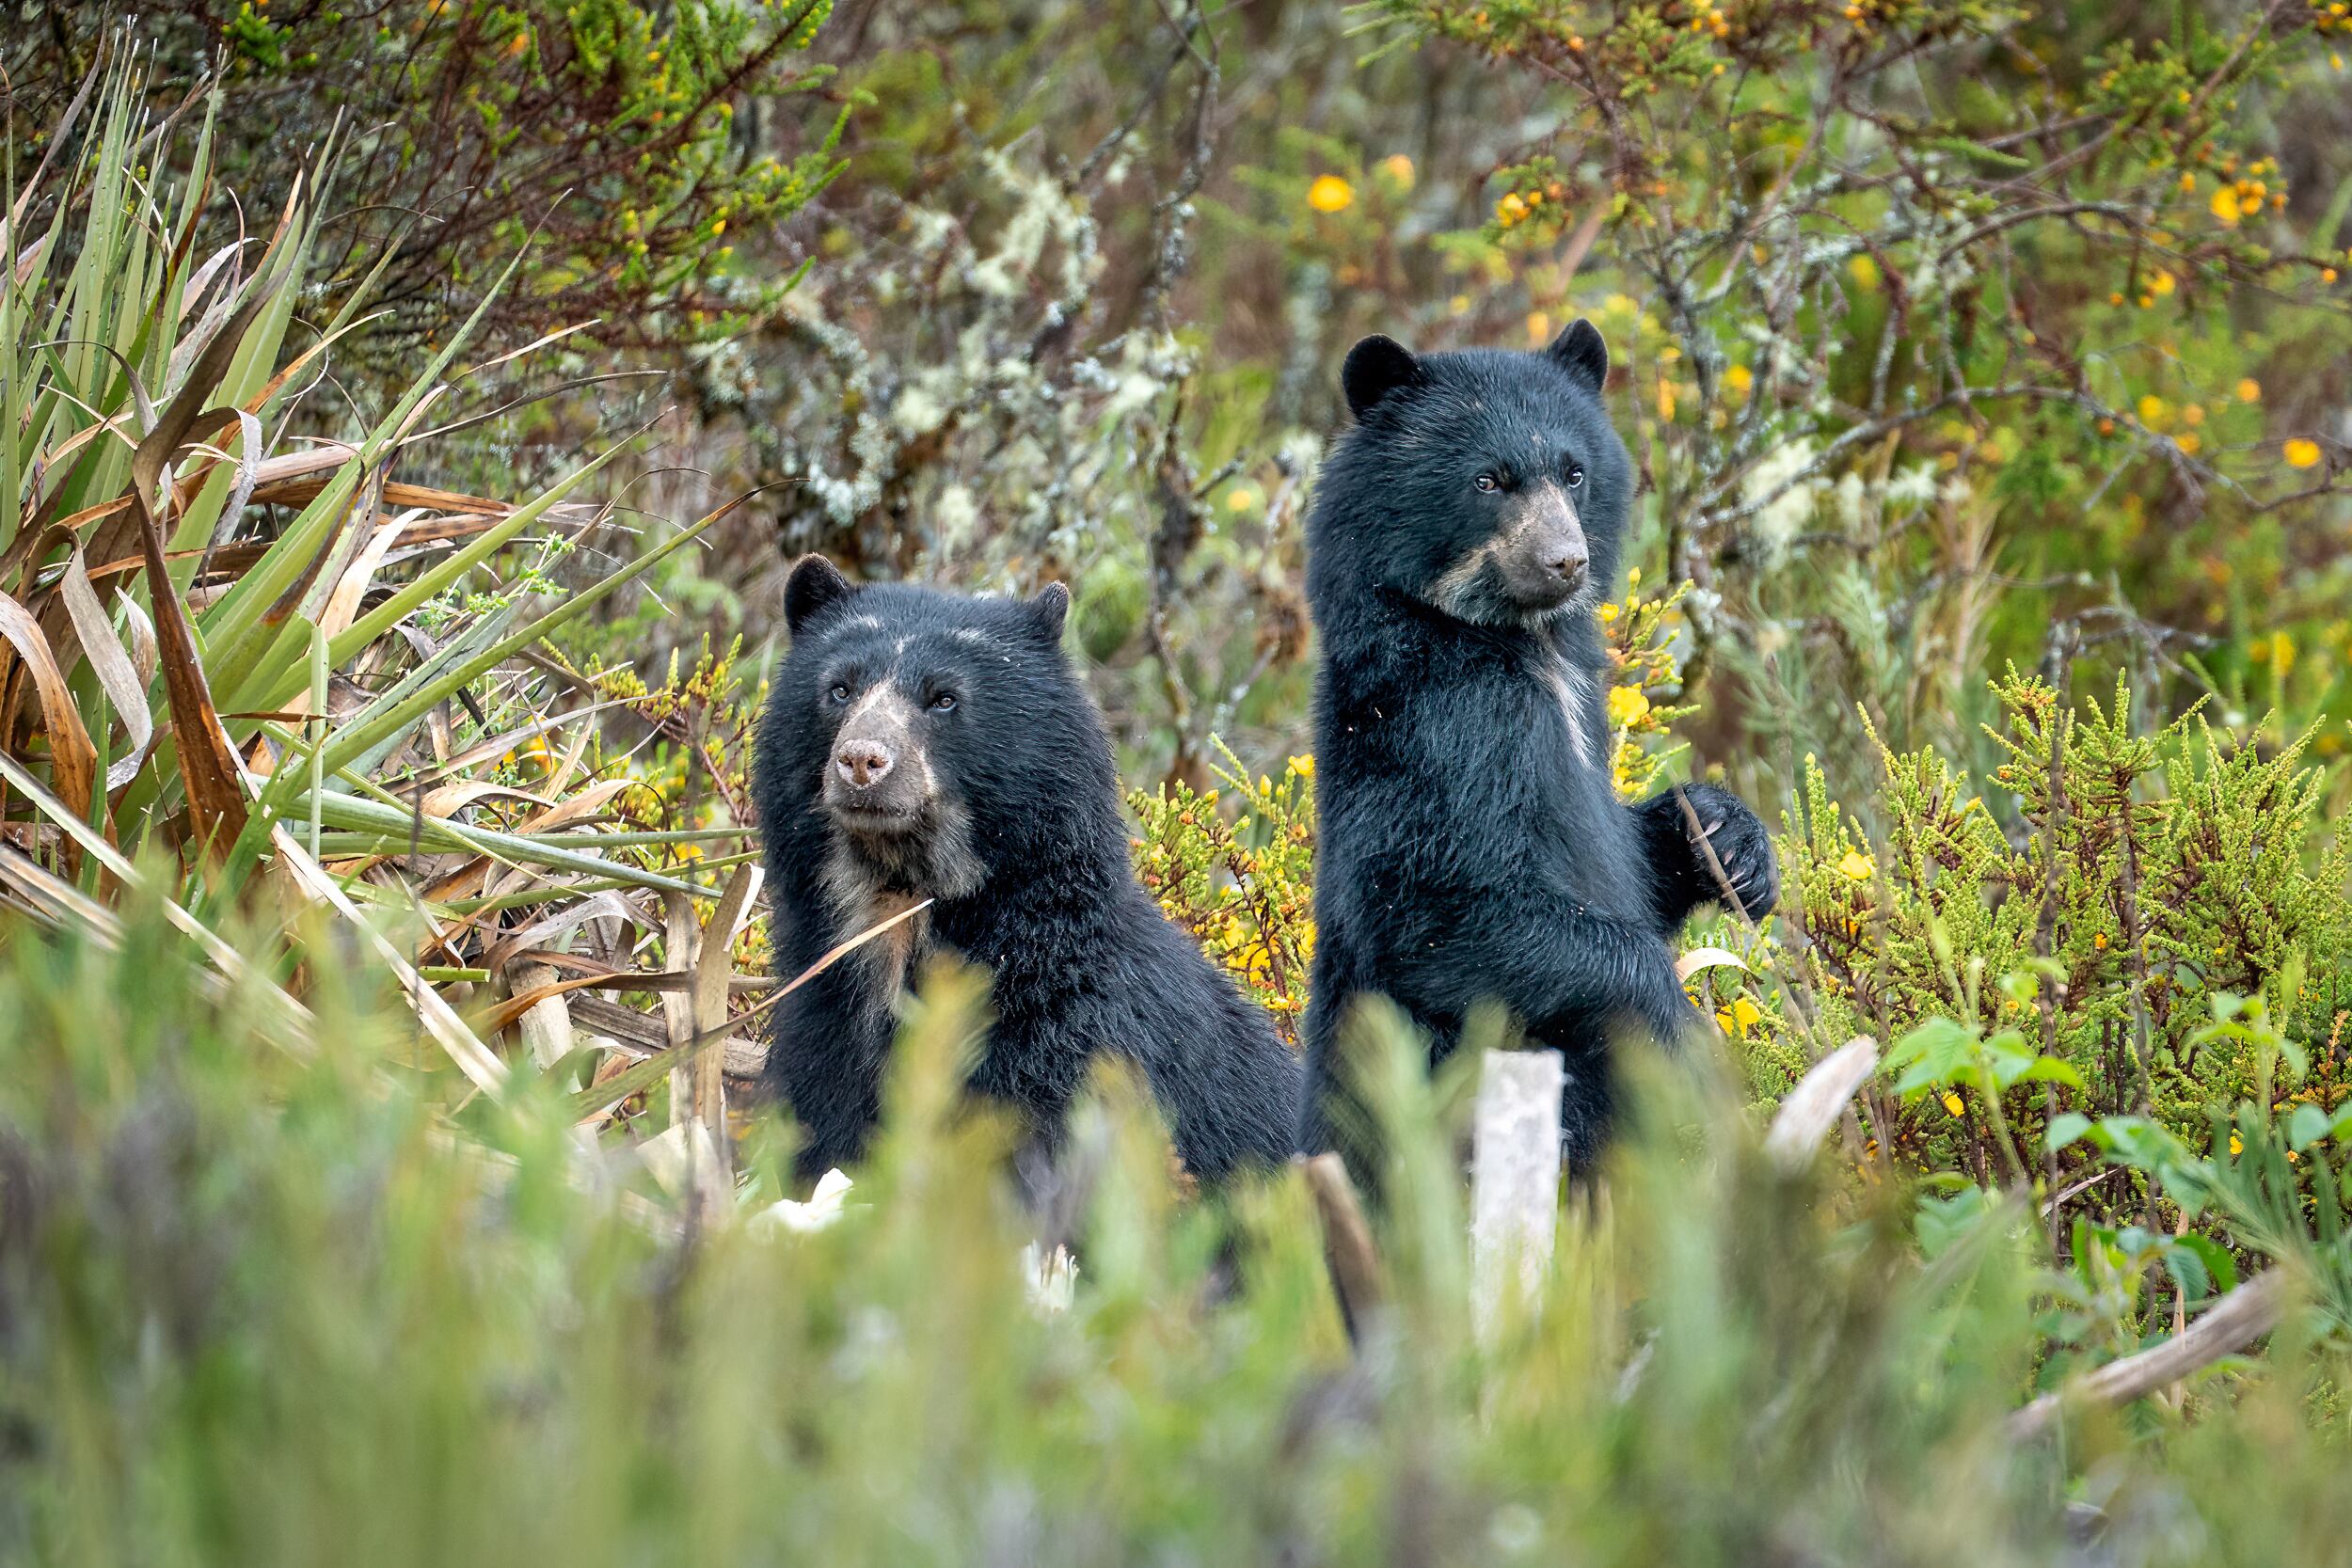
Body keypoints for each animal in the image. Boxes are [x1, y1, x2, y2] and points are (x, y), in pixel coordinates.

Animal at [755, 555, 1301, 1189]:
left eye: (944, 699)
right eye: (839, 689)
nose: (862, 761)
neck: (899, 905)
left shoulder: (1067, 1054)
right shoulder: (822, 1032)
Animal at [1296, 321, 1779, 1182]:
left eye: (1575, 471)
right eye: (1489, 480)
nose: (1566, 561)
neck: (1522, 646)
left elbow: (1630, 851)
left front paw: (1732, 843)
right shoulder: (1440, 733)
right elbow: (1439, 909)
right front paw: (1678, 1028)